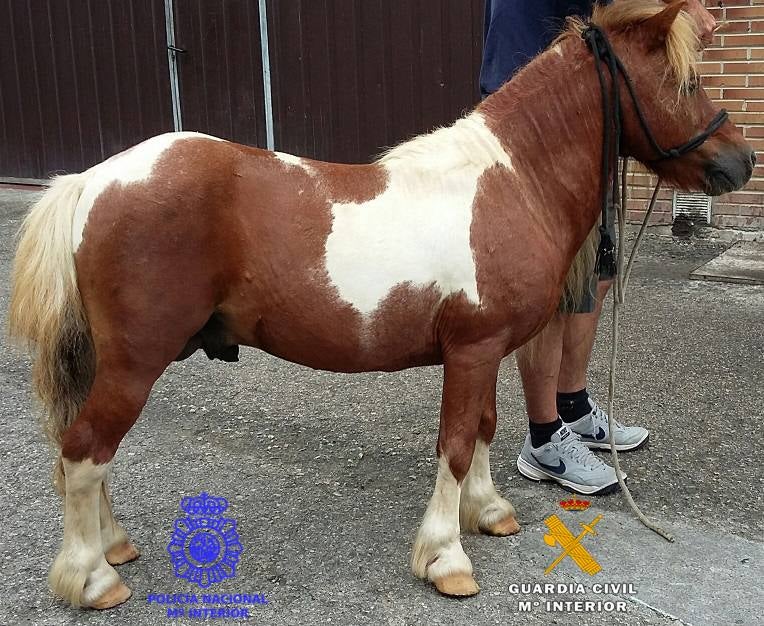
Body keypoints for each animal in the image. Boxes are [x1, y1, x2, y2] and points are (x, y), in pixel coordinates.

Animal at [8, 0, 754, 608]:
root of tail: (92, 180)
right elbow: (456, 443)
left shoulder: (481, 351)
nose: (741, 163)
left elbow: (483, 429)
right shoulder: (473, 349)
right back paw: (93, 579)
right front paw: (446, 559)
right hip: (136, 362)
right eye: (684, 82)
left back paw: (113, 547)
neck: (511, 181)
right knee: (84, 450)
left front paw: (488, 514)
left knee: (86, 452)